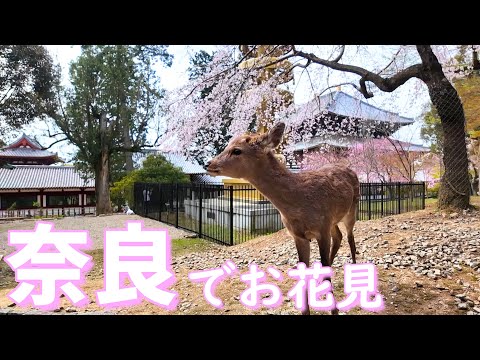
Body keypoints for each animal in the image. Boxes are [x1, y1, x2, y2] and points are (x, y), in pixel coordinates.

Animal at [205, 121, 360, 316]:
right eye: (227, 145)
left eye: (237, 150)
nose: (208, 163)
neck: (300, 202)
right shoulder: (299, 235)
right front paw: (305, 310)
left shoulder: (321, 229)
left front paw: (334, 310)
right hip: (333, 219)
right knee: (338, 236)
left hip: (352, 208)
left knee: (351, 238)